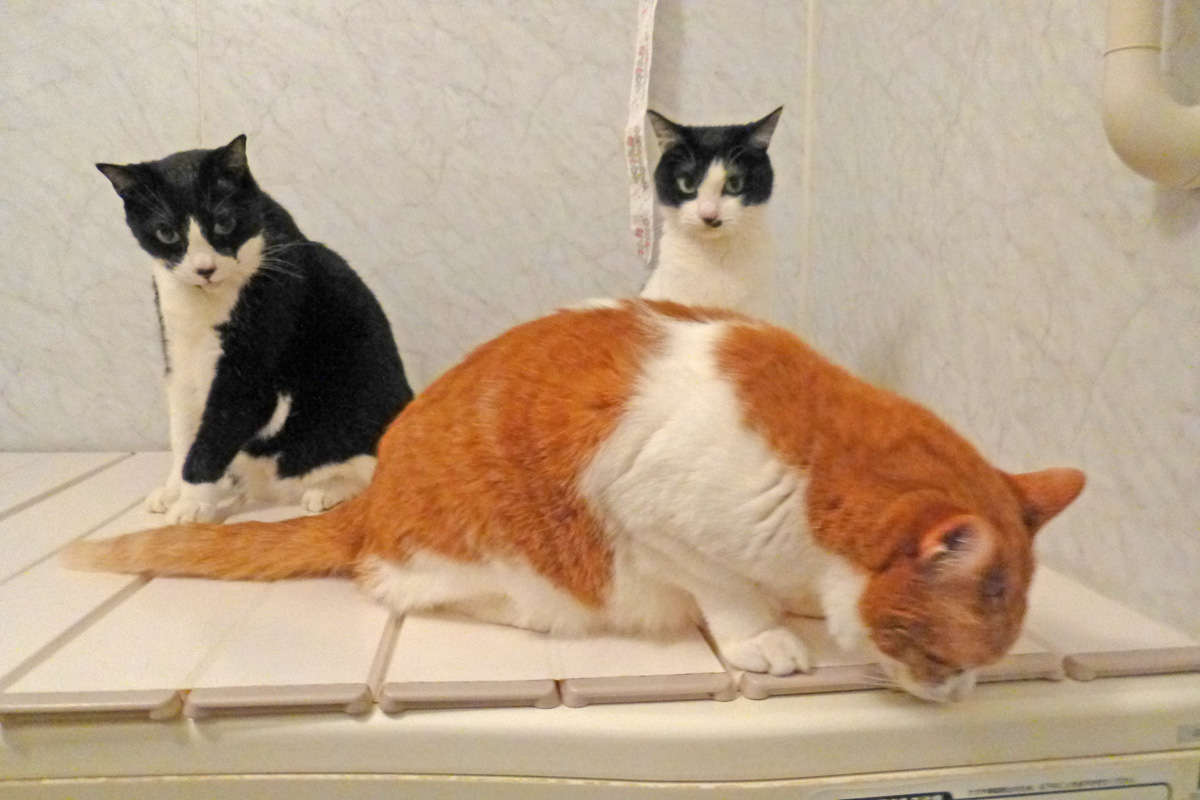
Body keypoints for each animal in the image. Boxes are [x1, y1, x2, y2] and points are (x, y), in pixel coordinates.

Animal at [64, 299, 1084, 702]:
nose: (959, 695)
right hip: (500, 567)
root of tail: (373, 491)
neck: (815, 468)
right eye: (948, 655)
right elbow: (727, 593)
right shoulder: (653, 517)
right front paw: (761, 634)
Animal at [96, 135, 413, 524]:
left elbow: (214, 435)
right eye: (166, 233)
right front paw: (173, 491)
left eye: (224, 223)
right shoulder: (179, 357)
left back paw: (326, 490)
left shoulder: (250, 369)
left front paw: (192, 502)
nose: (204, 268)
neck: (206, 303)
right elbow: (183, 432)